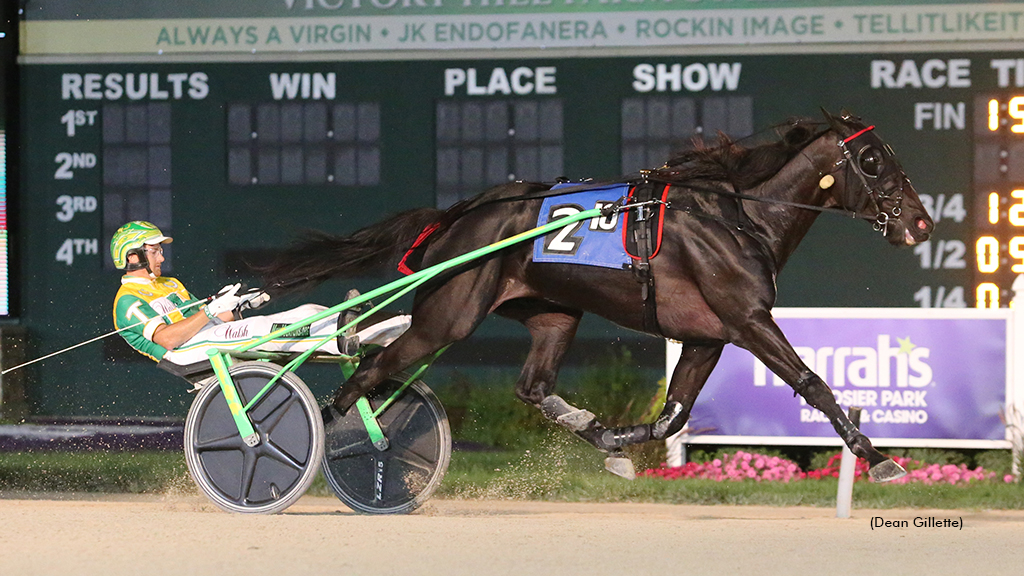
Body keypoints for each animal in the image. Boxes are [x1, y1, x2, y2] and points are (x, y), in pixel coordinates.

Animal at [264, 107, 937, 479]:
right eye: (871, 160)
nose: (921, 223)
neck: (737, 215)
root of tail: (456, 215)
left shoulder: (706, 335)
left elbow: (672, 416)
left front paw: (617, 443)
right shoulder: (748, 320)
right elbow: (813, 383)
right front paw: (879, 458)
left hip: (553, 313)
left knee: (532, 386)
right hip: (447, 316)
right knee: (366, 373)